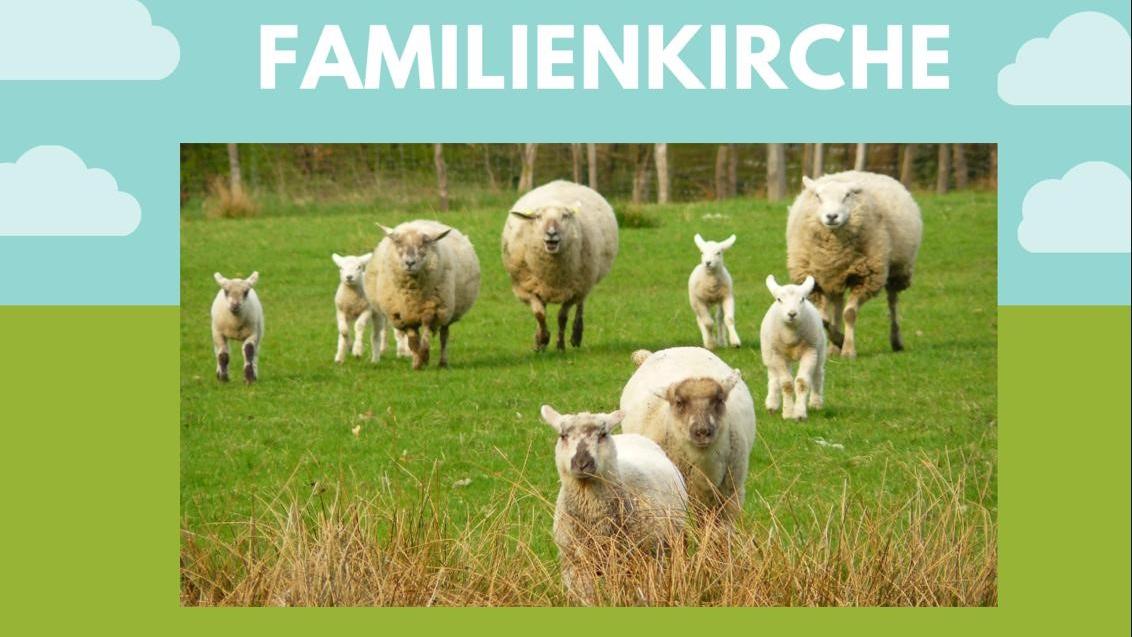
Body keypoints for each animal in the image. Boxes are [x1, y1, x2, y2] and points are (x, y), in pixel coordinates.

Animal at [368, 220, 480, 370]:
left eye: (424, 243)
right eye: (398, 242)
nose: (410, 263)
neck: (412, 293)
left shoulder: (433, 309)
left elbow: (426, 331)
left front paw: (425, 356)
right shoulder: (404, 314)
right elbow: (412, 340)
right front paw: (417, 362)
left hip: (447, 311)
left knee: (444, 336)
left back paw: (442, 363)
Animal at [502, 180, 618, 352]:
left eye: (565, 216)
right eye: (538, 217)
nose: (551, 233)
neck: (551, 273)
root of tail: (564, 182)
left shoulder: (573, 291)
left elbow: (562, 317)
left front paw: (560, 345)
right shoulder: (527, 288)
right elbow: (540, 314)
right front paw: (542, 339)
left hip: (585, 281)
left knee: (580, 305)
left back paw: (576, 336)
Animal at [760, 275, 826, 420]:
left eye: (802, 299)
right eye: (779, 299)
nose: (792, 314)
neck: (791, 336)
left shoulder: (810, 351)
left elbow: (802, 382)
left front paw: (799, 414)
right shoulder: (777, 354)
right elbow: (786, 384)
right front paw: (788, 413)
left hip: (819, 349)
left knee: (818, 374)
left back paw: (816, 403)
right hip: (769, 354)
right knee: (773, 377)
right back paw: (772, 404)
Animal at [786, 170, 923, 359]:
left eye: (847, 195)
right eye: (818, 196)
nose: (832, 216)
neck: (833, 252)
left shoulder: (866, 278)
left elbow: (849, 313)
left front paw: (848, 349)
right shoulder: (816, 281)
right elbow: (824, 319)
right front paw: (839, 341)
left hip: (897, 270)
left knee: (892, 302)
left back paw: (896, 341)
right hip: (834, 278)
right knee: (836, 308)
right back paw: (833, 349)